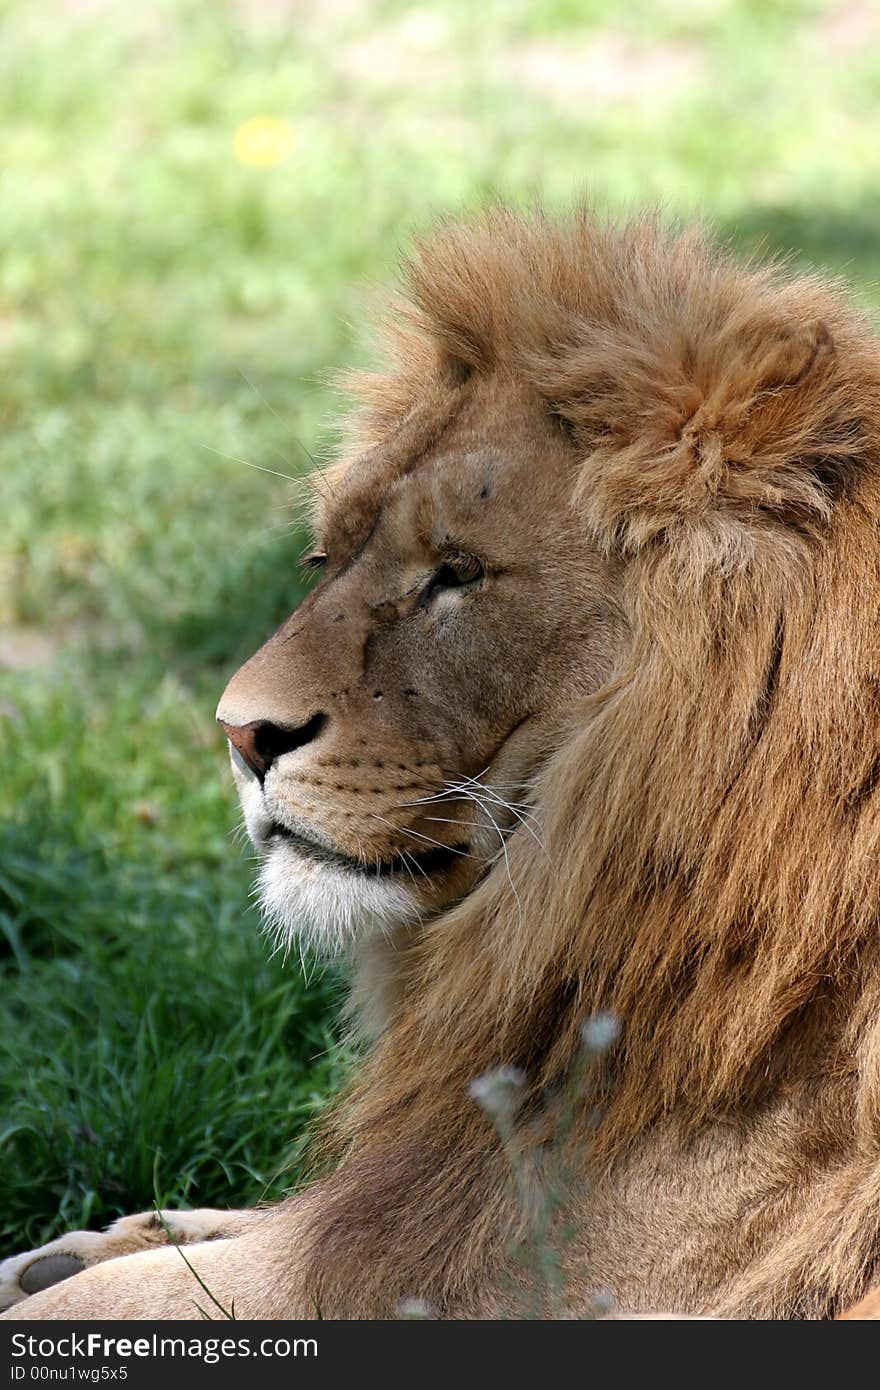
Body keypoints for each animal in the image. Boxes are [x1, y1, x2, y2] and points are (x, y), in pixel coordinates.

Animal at [5, 211, 878, 1317]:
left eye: (454, 573)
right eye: (323, 561)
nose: (239, 734)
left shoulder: (581, 1272)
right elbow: (250, 1233)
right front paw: (83, 1245)